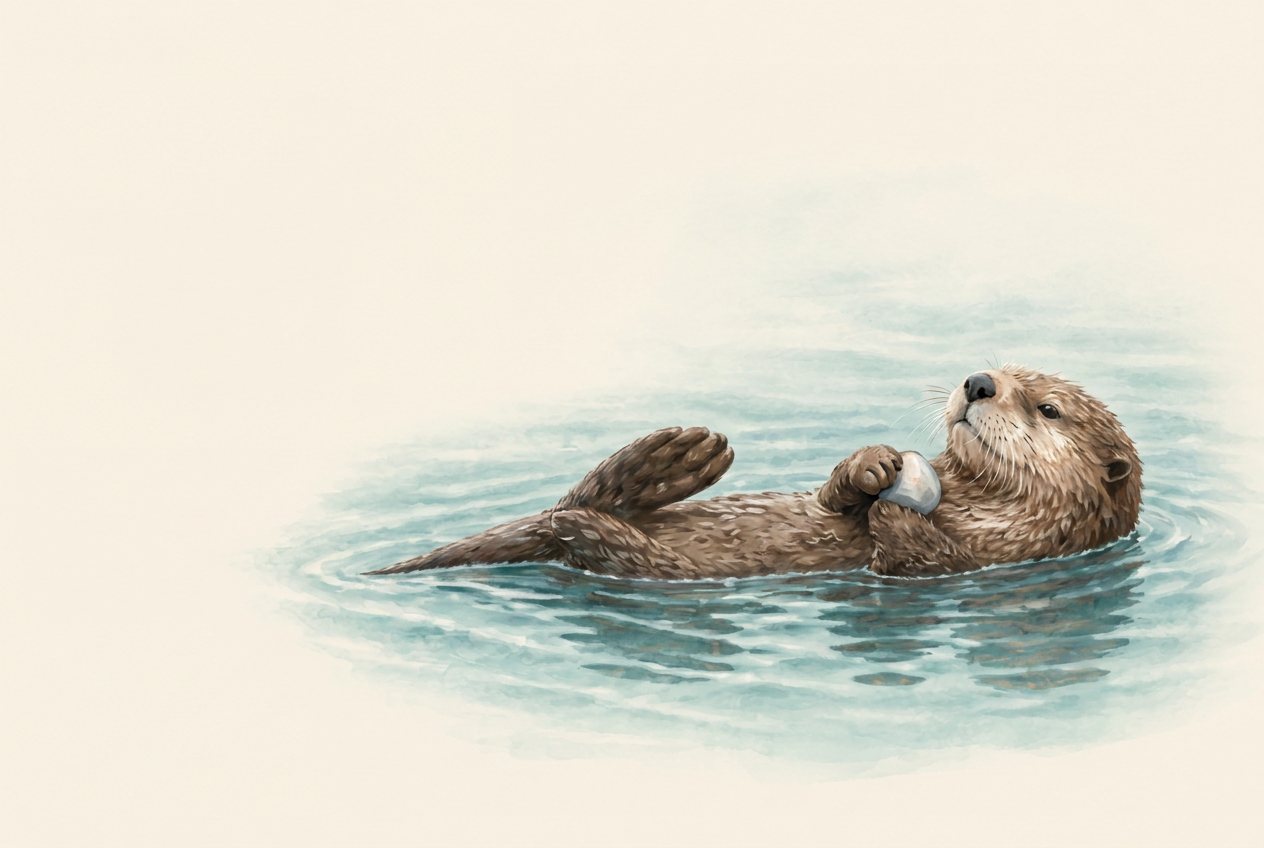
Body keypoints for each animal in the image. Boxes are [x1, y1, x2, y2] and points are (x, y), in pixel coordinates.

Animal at [368, 366, 1141, 579]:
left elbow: (923, 559)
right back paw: (683, 453)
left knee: (585, 525)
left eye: (1046, 407)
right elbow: (836, 497)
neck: (970, 502)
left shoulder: (997, 555)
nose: (979, 382)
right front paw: (871, 465)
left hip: (636, 559)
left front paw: (895, 512)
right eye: (998, 370)